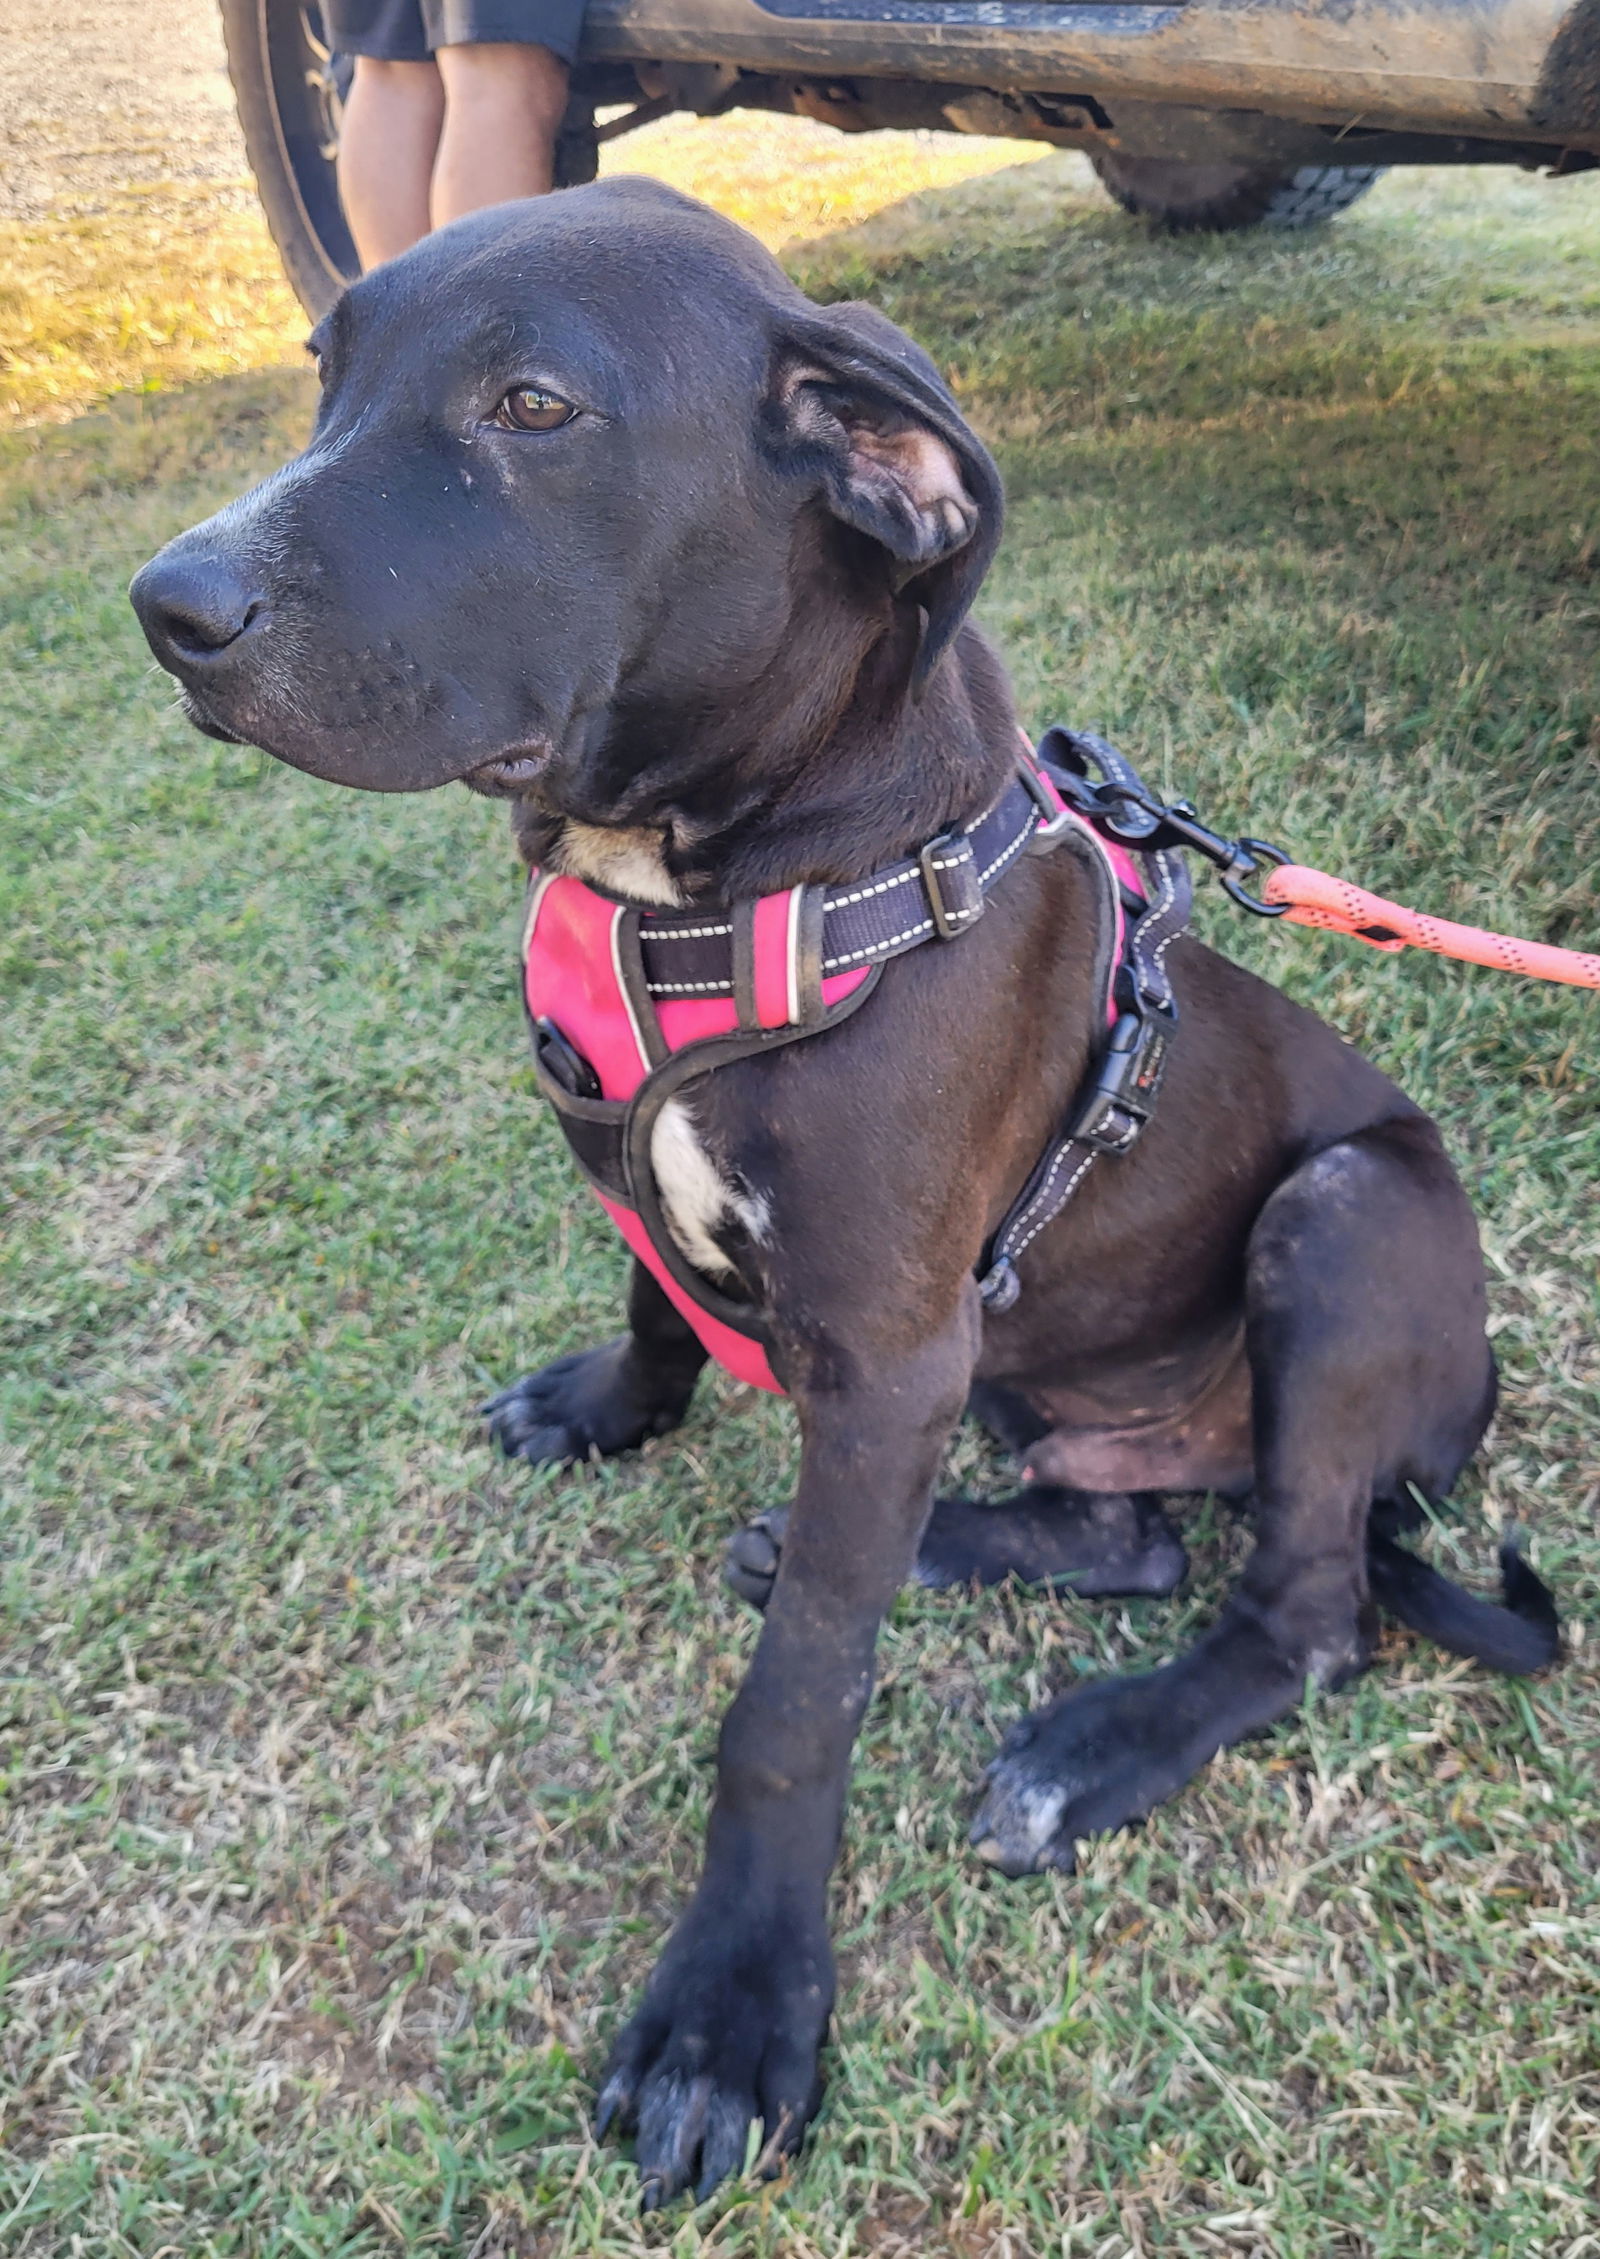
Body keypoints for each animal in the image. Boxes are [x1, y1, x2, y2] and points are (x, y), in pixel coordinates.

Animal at [131, 176, 1554, 2204]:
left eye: (534, 409)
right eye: (328, 367)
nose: (168, 609)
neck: (728, 876)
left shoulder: (891, 1357)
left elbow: (796, 1703)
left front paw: (732, 2010)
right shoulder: (761, 1259)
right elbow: (656, 1296)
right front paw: (611, 1404)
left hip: (1342, 1218)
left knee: (1300, 1612)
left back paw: (1090, 1747)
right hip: (1041, 1373)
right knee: (1126, 1532)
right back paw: (923, 1542)